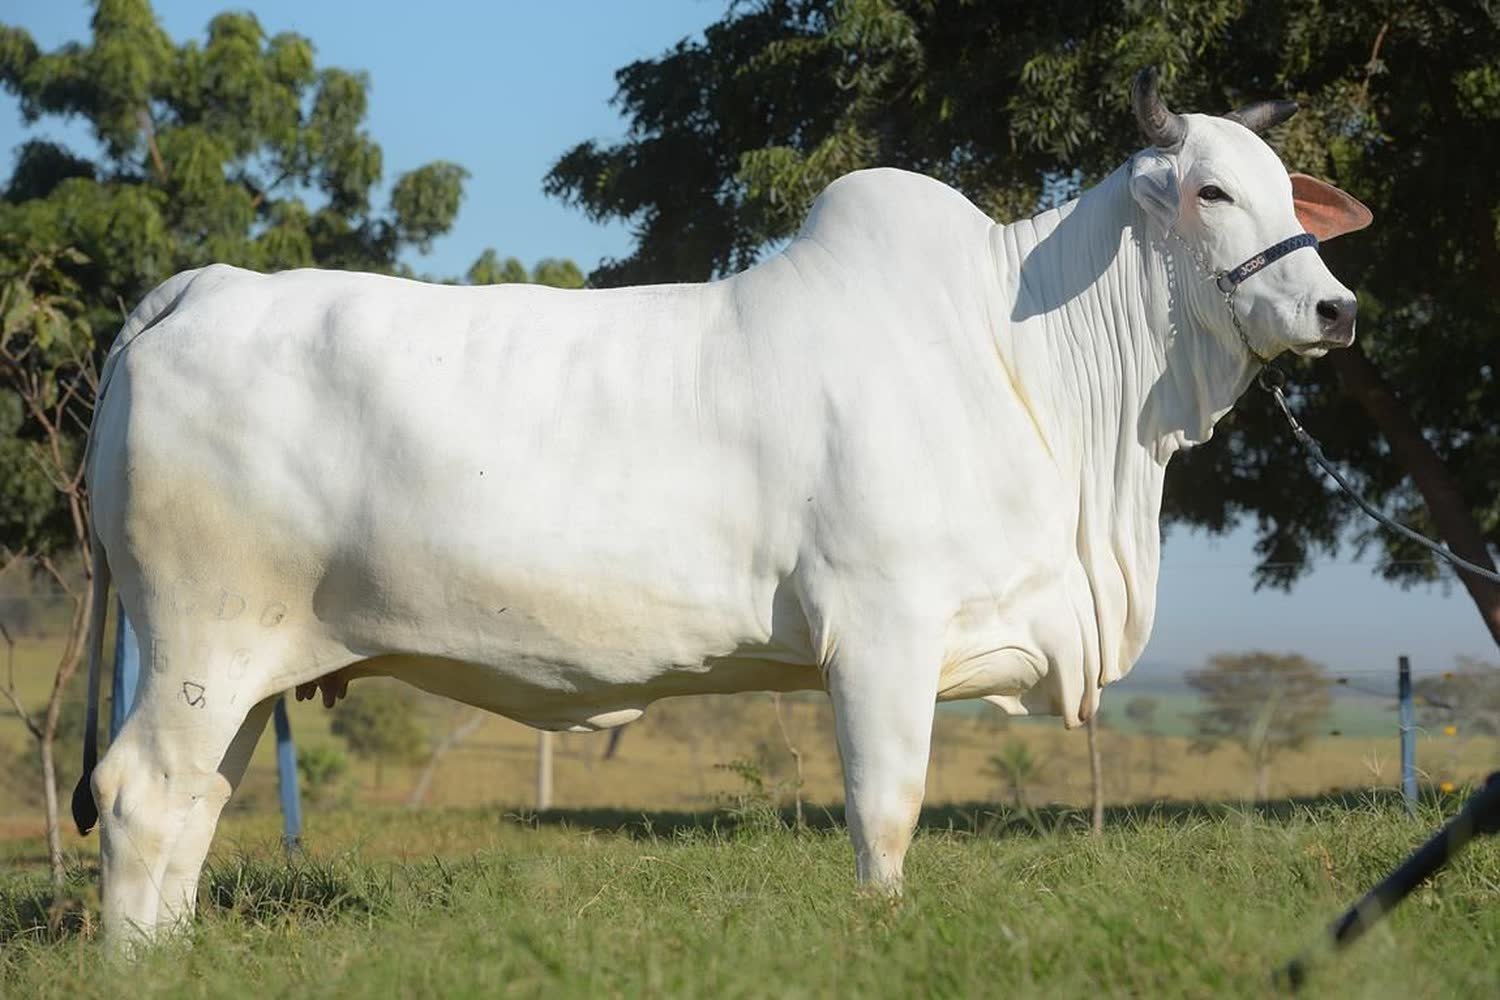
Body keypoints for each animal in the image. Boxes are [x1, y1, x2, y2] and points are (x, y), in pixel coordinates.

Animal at [72, 69, 1370, 947]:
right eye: (1210, 190)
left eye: (1283, 193)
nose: (1336, 308)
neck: (1033, 365)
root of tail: (198, 288)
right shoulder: (884, 633)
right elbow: (885, 816)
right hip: (198, 642)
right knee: (142, 799)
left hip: (244, 668)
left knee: (196, 805)